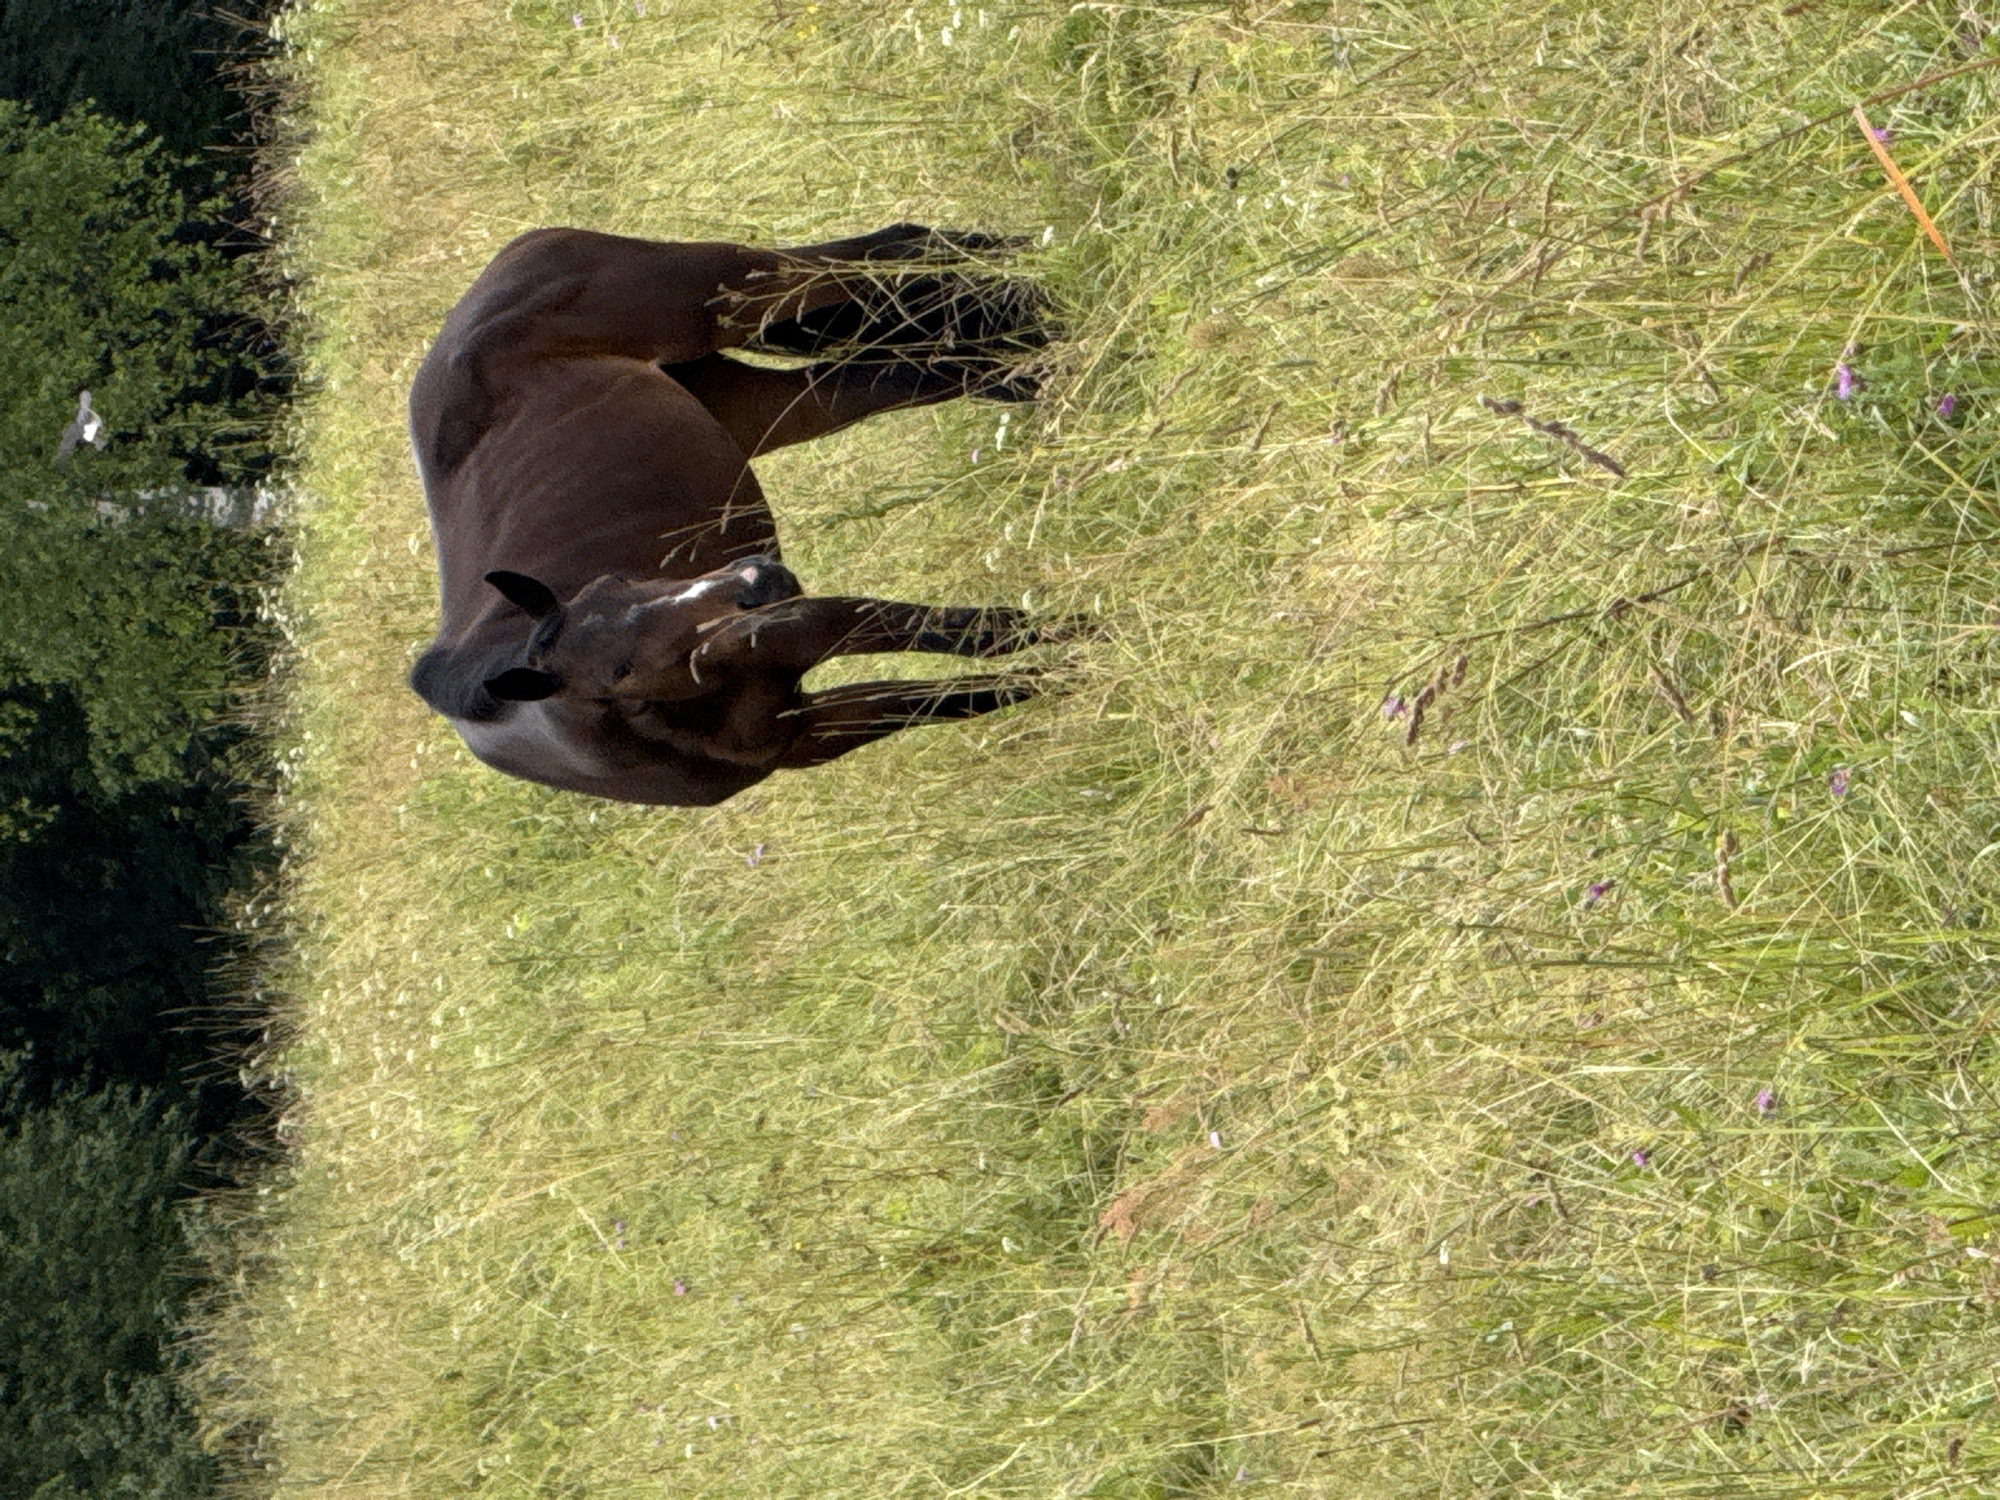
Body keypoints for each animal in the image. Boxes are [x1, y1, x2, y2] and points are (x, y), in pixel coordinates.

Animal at [406, 223, 1063, 806]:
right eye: (620, 668)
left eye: (622, 579)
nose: (755, 581)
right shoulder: (816, 731)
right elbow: (969, 695)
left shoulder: (810, 620)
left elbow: (971, 634)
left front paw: (1076, 640)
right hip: (760, 403)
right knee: (901, 369)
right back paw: (1030, 349)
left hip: (726, 294)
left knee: (892, 250)